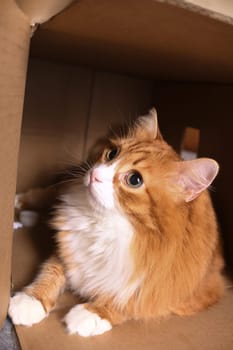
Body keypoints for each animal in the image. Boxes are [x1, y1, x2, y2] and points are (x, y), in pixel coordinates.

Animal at [8, 108, 224, 336]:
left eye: (134, 180)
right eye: (112, 153)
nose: (94, 174)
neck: (107, 225)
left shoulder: (171, 291)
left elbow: (132, 303)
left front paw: (93, 313)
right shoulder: (66, 250)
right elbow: (50, 273)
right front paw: (31, 300)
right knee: (42, 194)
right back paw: (21, 205)